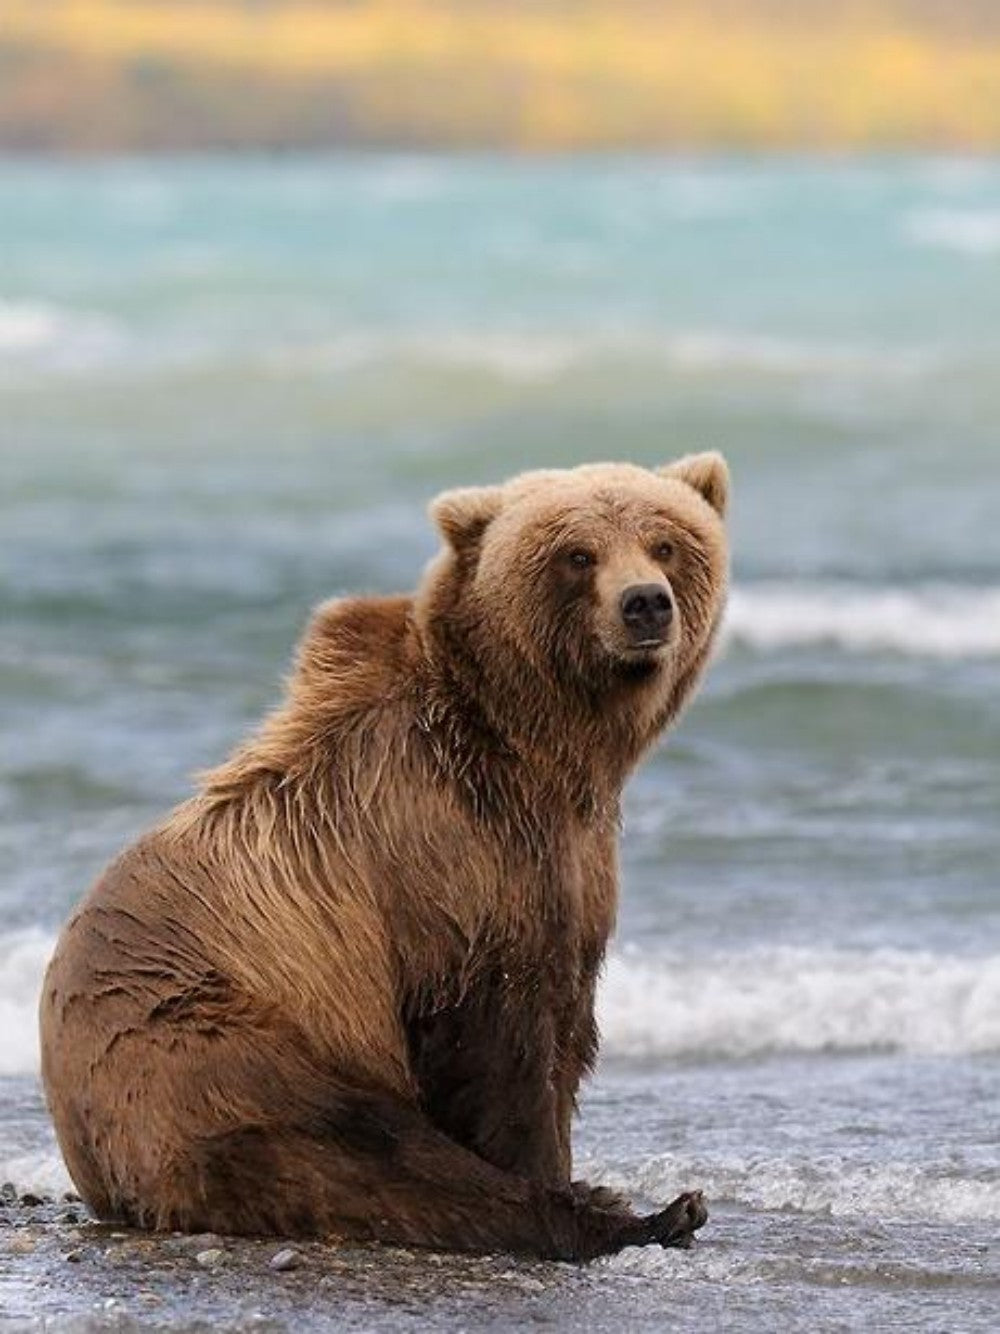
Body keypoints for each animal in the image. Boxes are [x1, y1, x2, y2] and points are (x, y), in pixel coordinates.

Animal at [40, 452, 729, 1261]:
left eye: (665, 543)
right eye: (577, 554)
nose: (645, 604)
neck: (535, 751)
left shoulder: (567, 862)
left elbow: (565, 1025)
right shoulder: (452, 868)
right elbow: (504, 1050)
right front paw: (559, 1173)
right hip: (214, 1050)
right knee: (370, 1156)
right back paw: (646, 1212)